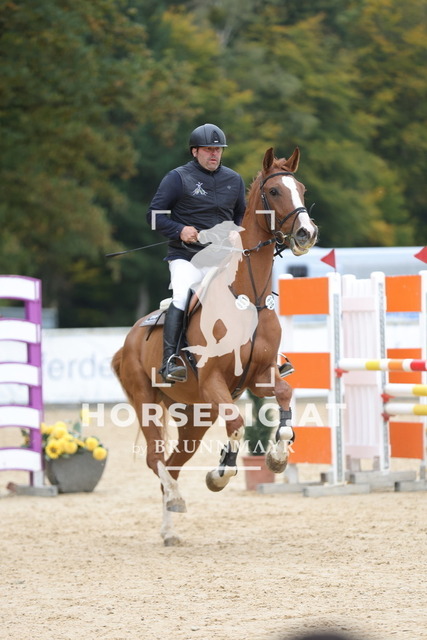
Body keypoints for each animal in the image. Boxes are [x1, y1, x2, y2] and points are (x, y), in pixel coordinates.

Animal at [112, 146, 318, 545]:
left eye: (300, 188)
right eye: (274, 192)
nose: (306, 233)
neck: (248, 299)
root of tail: (128, 340)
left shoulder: (259, 377)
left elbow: (285, 397)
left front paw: (277, 457)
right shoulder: (213, 382)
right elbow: (237, 423)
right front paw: (220, 474)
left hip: (196, 417)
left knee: (173, 465)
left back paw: (170, 528)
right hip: (147, 402)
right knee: (156, 460)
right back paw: (175, 504)